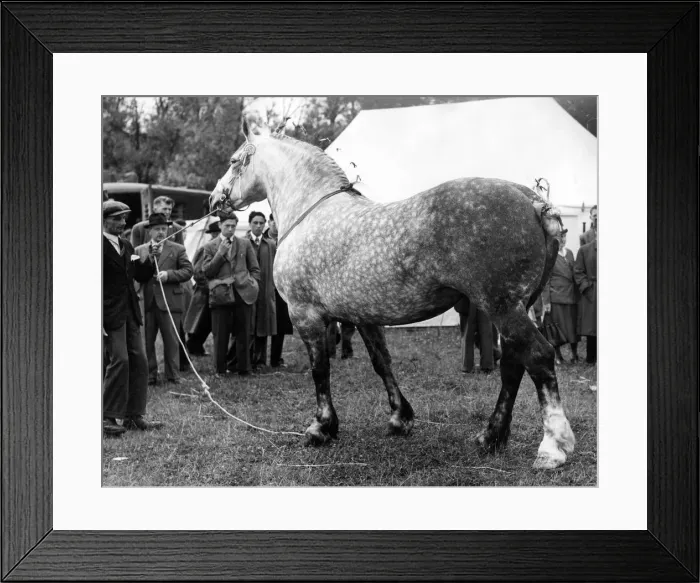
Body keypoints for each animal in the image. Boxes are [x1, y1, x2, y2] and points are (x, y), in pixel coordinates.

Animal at [209, 119, 576, 470]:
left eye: (233, 161)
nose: (214, 200)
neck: (311, 212)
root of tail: (534, 202)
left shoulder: (305, 315)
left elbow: (320, 370)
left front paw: (322, 427)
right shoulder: (363, 316)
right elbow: (381, 362)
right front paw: (401, 417)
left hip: (503, 307)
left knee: (538, 357)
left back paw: (552, 449)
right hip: (517, 307)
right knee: (513, 364)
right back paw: (491, 437)